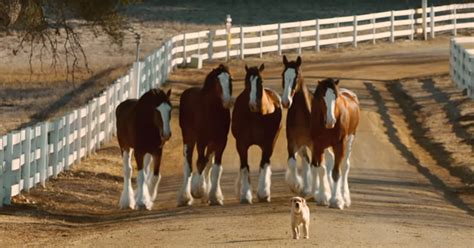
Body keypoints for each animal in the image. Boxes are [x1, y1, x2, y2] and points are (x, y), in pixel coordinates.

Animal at [177, 63, 232, 205]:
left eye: (230, 80)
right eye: (217, 81)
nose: (227, 101)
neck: (211, 111)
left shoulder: (221, 141)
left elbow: (216, 168)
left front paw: (215, 197)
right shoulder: (201, 140)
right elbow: (200, 163)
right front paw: (198, 190)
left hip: (211, 143)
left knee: (208, 163)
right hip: (189, 138)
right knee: (188, 164)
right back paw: (185, 197)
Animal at [232, 64, 282, 203]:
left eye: (261, 81)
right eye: (246, 82)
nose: (253, 105)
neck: (255, 116)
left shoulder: (268, 144)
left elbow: (263, 164)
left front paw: (263, 193)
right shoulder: (241, 144)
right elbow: (244, 166)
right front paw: (245, 195)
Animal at [312, 78, 360, 209]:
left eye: (336, 97)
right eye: (322, 97)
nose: (330, 121)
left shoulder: (339, 145)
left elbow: (336, 172)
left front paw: (336, 200)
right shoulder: (318, 145)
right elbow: (321, 169)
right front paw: (323, 197)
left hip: (350, 139)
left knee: (344, 166)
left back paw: (345, 197)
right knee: (330, 164)